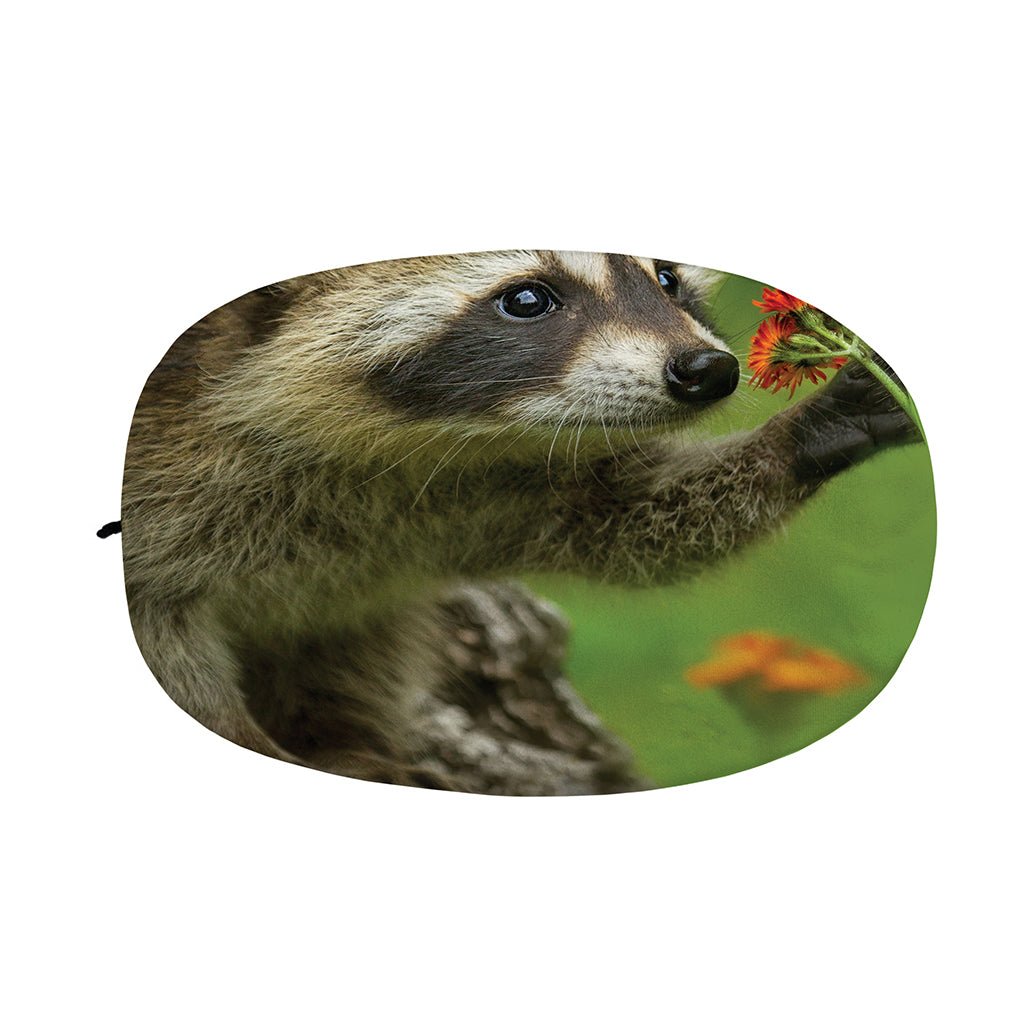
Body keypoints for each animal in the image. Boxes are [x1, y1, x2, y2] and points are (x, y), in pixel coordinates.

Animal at [120, 250, 916, 793]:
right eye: (528, 298)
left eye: (665, 278)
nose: (708, 371)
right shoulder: (163, 476)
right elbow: (164, 633)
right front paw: (241, 739)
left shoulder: (499, 484)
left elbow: (627, 521)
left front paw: (806, 433)